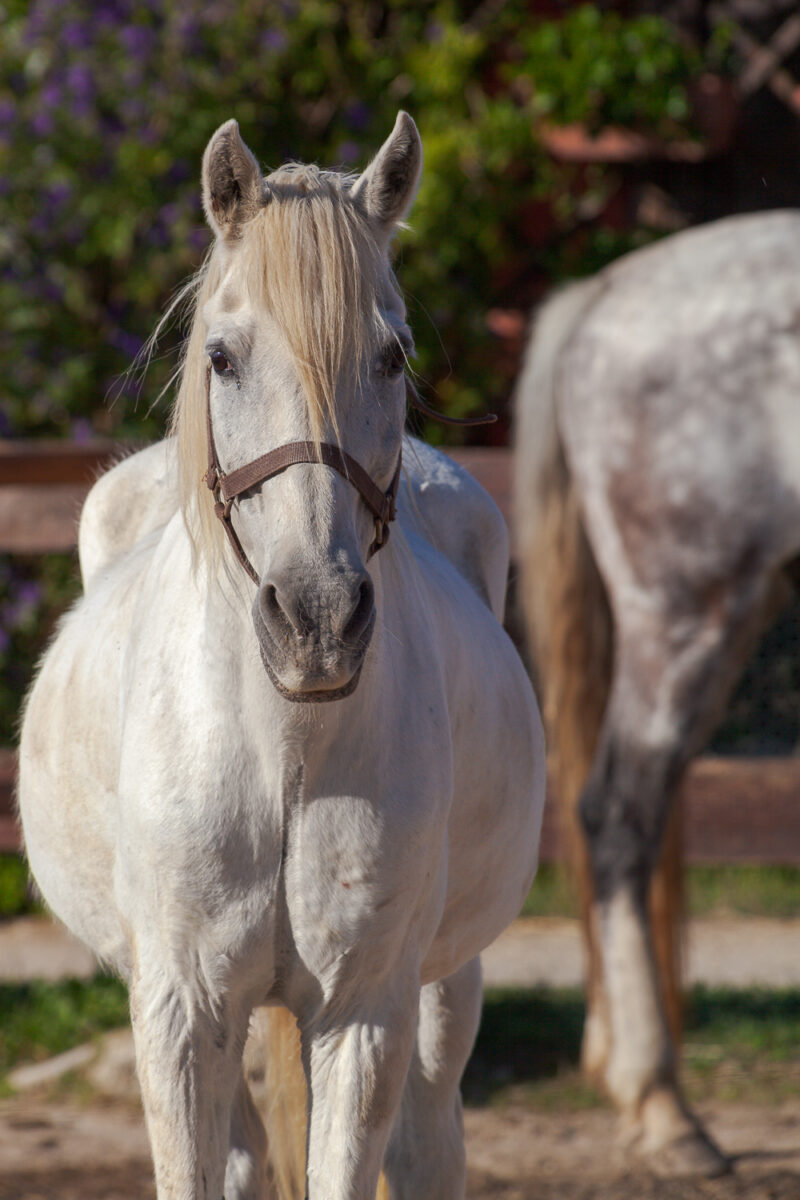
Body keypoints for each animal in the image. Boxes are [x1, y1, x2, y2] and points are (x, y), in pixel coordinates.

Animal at [18, 114, 546, 1200]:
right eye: (221, 357)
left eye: (393, 356)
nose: (316, 620)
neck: (284, 742)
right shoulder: (180, 1015)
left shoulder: (365, 1013)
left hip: (445, 986)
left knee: (428, 1142)